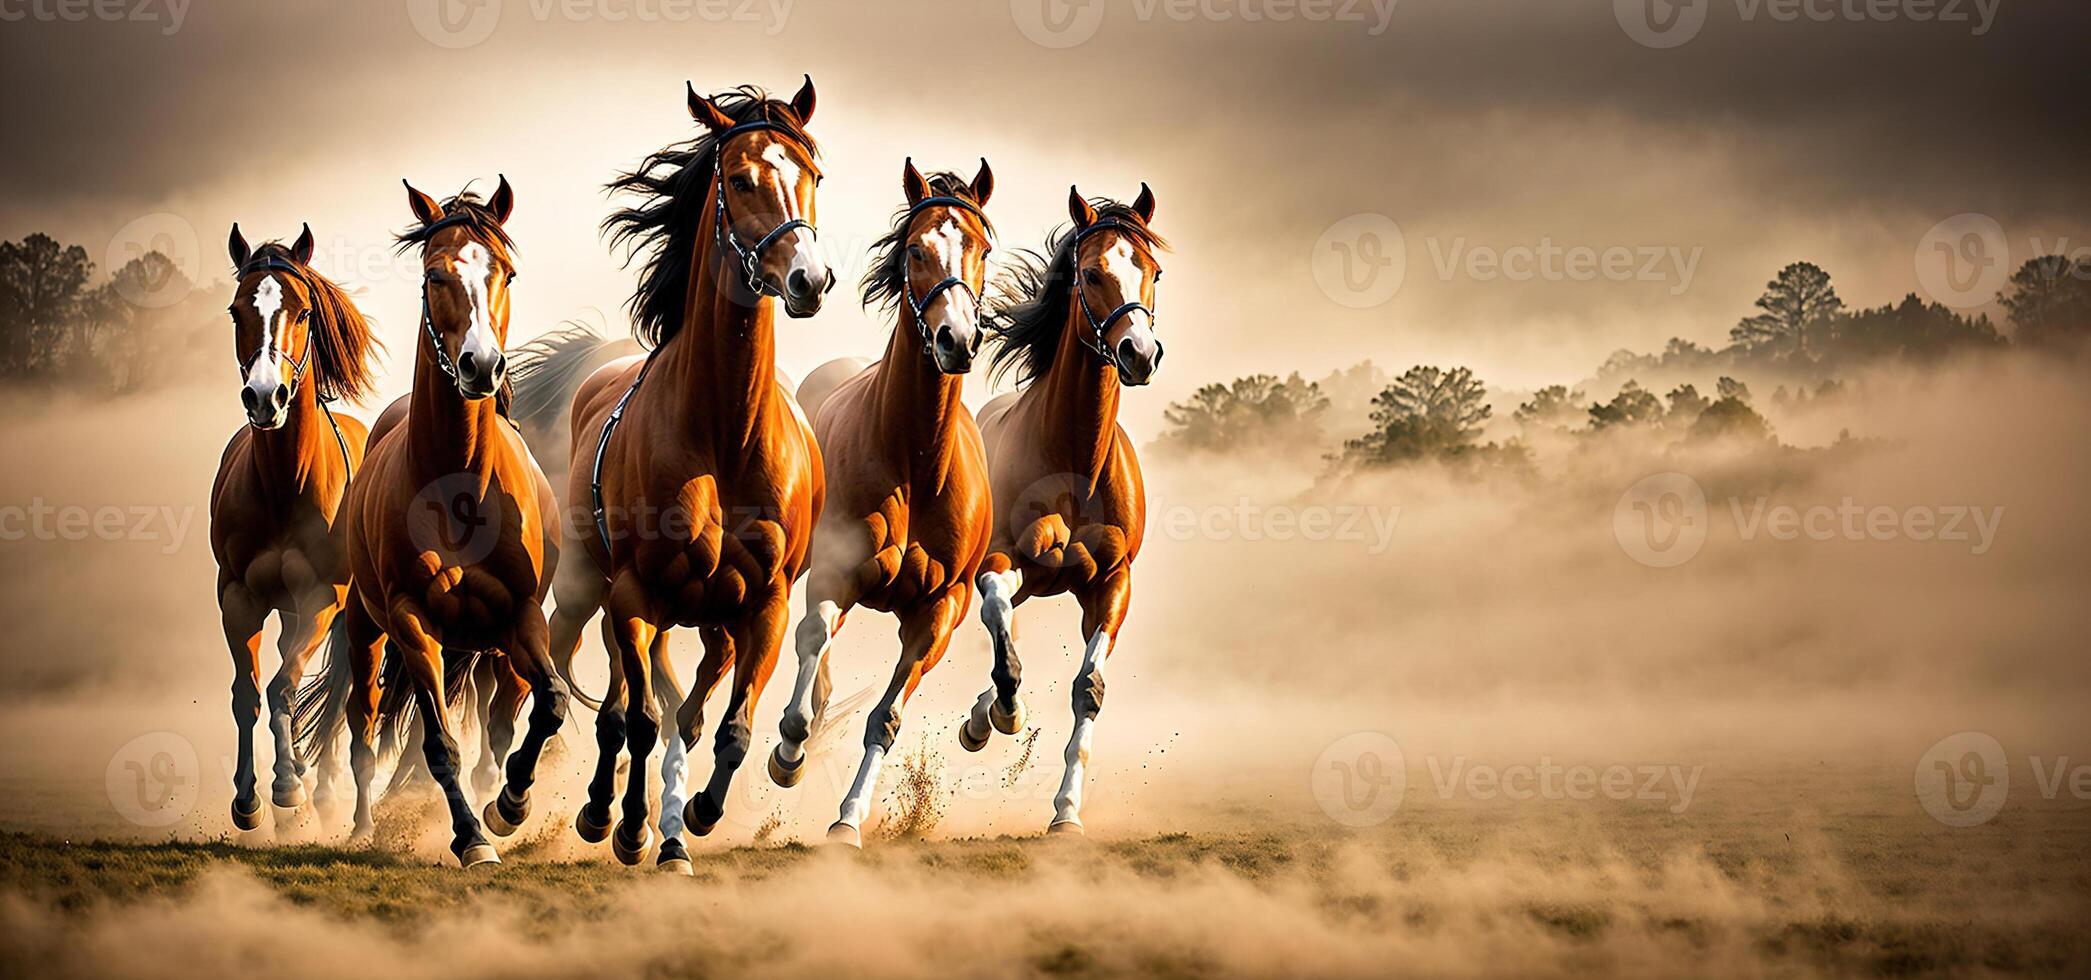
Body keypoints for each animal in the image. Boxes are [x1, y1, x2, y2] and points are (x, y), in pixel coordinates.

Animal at [210, 225, 382, 827]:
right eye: (236, 310)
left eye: (303, 311)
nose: (265, 397)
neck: (286, 483)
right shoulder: (238, 596)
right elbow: (247, 693)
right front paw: (246, 799)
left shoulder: (323, 597)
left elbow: (285, 687)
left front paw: (286, 785)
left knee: (345, 693)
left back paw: (327, 791)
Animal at [342, 177, 572, 865]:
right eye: (434, 275)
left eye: (506, 272)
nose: (480, 366)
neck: (460, 483)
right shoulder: (412, 621)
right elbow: (438, 744)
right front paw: (472, 837)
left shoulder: (522, 616)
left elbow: (548, 703)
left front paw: (509, 806)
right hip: (367, 630)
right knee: (363, 722)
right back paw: (362, 826)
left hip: (490, 647)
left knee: (499, 722)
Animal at [535, 78, 828, 869]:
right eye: (741, 179)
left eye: (811, 176)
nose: (808, 279)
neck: (723, 434)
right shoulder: (634, 595)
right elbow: (636, 720)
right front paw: (633, 826)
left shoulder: (764, 604)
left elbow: (728, 727)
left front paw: (697, 811)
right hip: (589, 589)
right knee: (594, 689)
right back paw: (560, 805)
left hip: (709, 616)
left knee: (684, 700)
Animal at [769, 156, 995, 844]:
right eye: (916, 248)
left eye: (981, 248)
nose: (956, 340)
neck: (916, 463)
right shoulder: (834, 574)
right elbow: (812, 642)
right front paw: (788, 751)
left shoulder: (939, 611)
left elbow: (886, 718)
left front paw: (847, 820)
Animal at [957, 184, 1162, 831]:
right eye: (1092, 273)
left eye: (1152, 271)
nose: (1138, 353)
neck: (1075, 463)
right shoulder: (1002, 561)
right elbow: (1000, 629)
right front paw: (1000, 715)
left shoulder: (1112, 583)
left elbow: (1088, 688)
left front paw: (1067, 813)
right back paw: (986, 719)